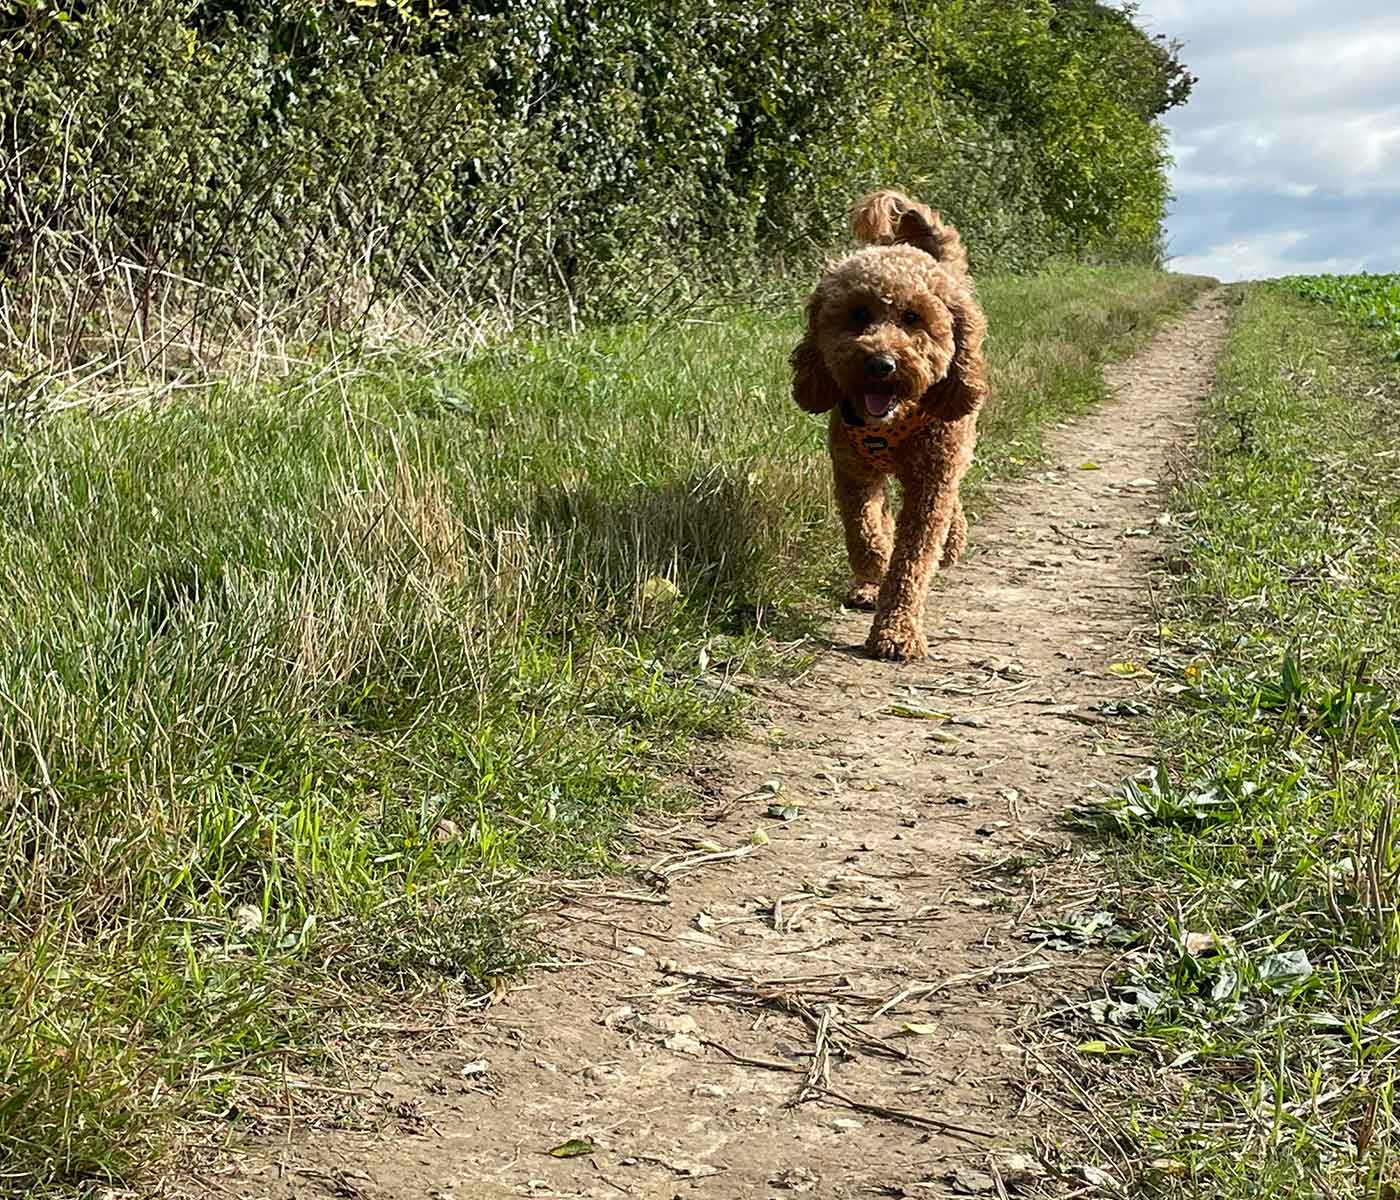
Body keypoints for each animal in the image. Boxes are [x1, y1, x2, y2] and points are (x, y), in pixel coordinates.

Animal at [795, 194, 991, 663]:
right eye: (859, 313)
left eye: (912, 317)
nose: (881, 364)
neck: (894, 422)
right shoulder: (853, 472)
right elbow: (865, 534)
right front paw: (874, 575)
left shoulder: (932, 481)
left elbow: (912, 560)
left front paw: (897, 631)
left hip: (954, 448)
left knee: (951, 506)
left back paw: (952, 542)